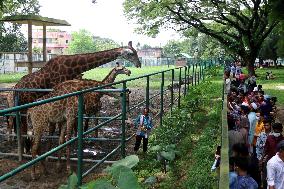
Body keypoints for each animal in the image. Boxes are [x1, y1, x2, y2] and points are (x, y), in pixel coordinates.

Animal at [6, 41, 140, 152]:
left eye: (136, 52)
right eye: (131, 54)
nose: (138, 64)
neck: (71, 67)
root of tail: (16, 88)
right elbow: (58, 125)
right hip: (23, 105)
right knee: (20, 125)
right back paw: (24, 149)